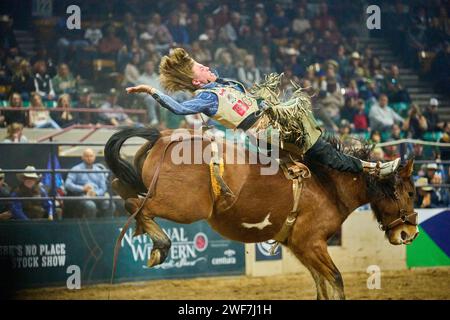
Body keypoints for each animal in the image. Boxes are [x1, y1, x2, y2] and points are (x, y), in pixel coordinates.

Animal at [104, 127, 418, 300]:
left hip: (149, 185)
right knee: (136, 206)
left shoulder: (300, 248)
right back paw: (161, 244)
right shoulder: (311, 244)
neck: (326, 183)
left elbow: (323, 285)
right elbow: (336, 280)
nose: (410, 233)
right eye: (412, 193)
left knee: (122, 188)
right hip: (184, 206)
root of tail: (163, 135)